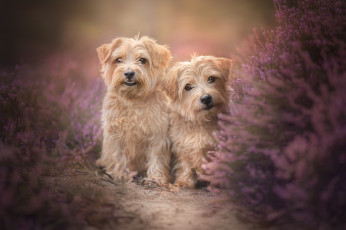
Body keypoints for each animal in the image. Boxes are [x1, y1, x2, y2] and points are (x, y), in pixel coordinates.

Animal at [96, 36, 172, 183]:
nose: (129, 73)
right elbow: (118, 155)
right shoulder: (115, 133)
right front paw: (119, 174)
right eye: (118, 59)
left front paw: (155, 178)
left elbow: (157, 157)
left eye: (142, 60)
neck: (133, 100)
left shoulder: (158, 134)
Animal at [165, 56, 232, 189]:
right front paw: (184, 181)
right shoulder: (182, 145)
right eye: (187, 86)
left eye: (211, 78)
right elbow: (184, 164)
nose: (206, 98)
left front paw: (217, 183)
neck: (201, 121)